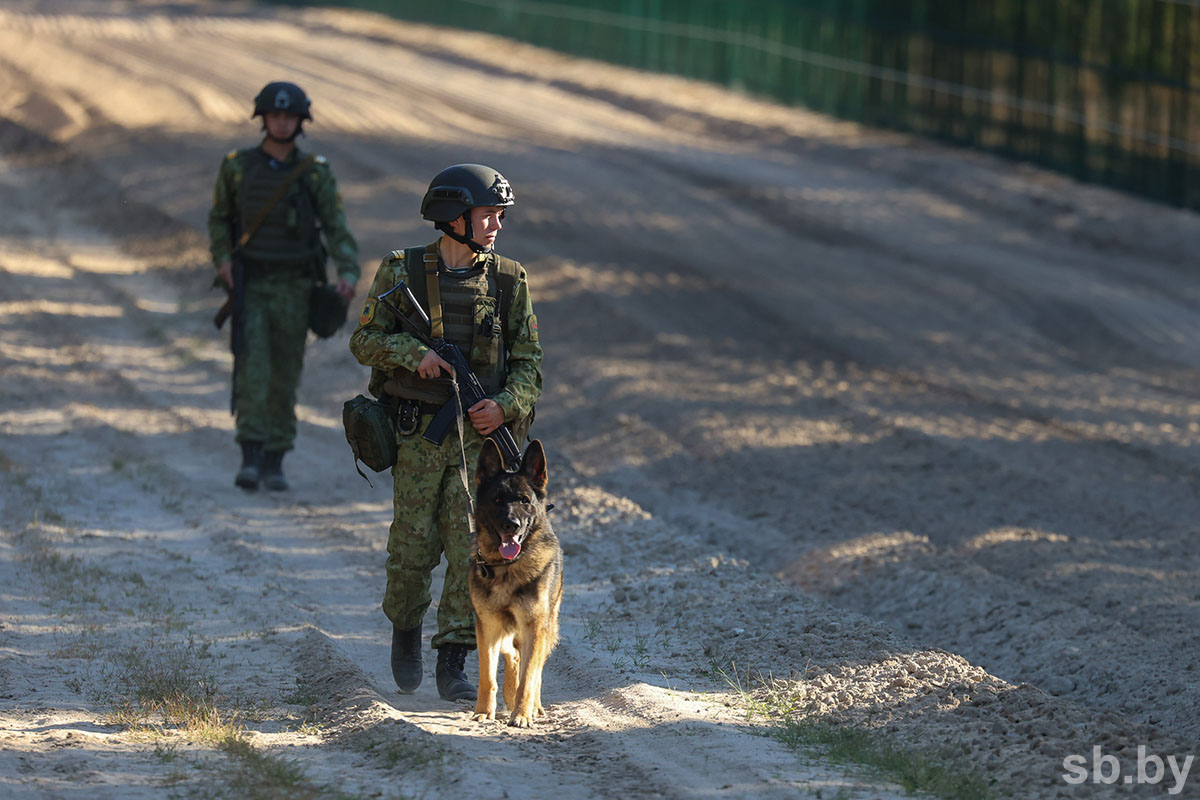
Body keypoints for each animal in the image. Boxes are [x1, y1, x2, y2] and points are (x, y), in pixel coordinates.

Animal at [468, 438, 561, 724]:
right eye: (497, 500)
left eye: (524, 500)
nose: (512, 524)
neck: (507, 567)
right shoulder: (487, 626)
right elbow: (488, 676)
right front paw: (483, 711)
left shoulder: (535, 627)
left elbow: (529, 676)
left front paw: (522, 714)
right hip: (504, 628)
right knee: (512, 654)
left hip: (545, 627)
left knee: (533, 667)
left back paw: (534, 706)